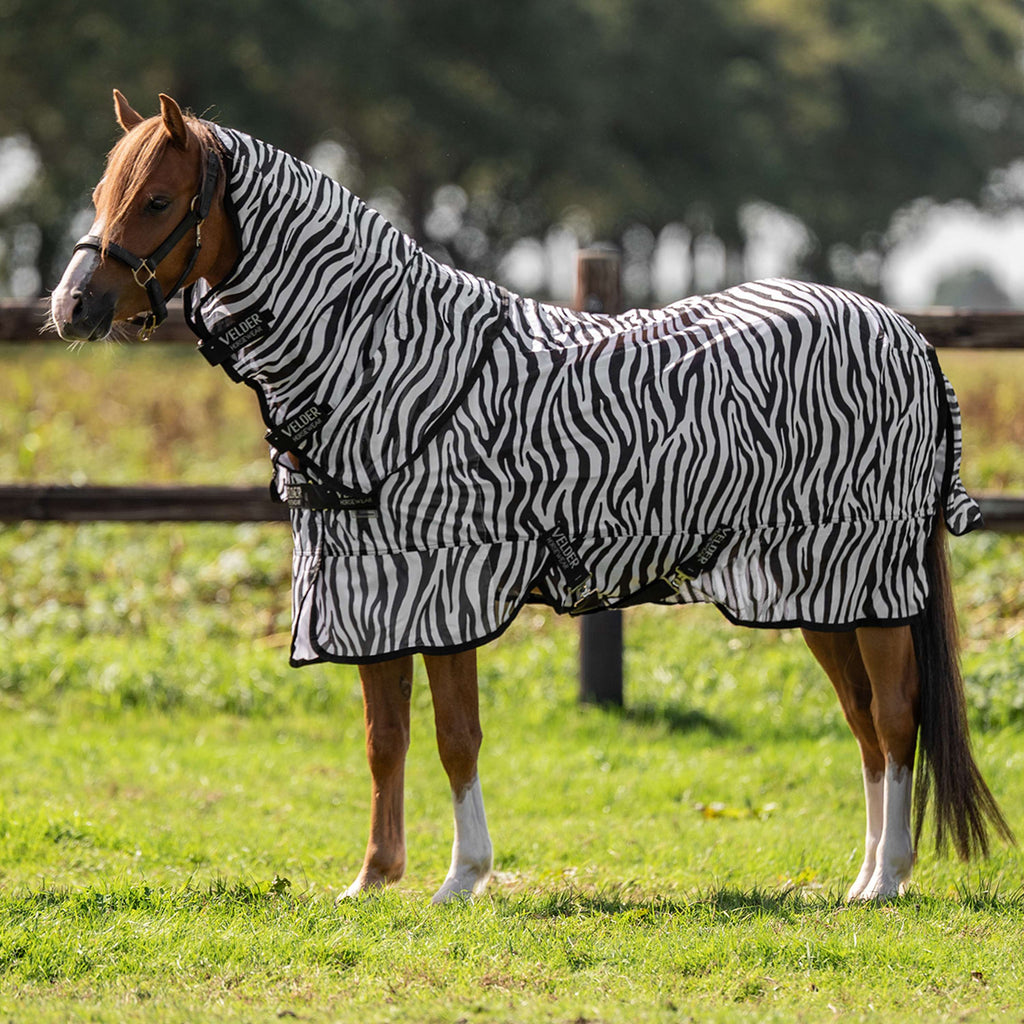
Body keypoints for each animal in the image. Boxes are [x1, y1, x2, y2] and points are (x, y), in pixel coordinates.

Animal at [51, 91, 1013, 903]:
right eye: (101, 192)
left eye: (159, 201)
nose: (71, 308)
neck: (395, 370)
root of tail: (907, 335)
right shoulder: (370, 591)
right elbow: (384, 739)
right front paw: (373, 880)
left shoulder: (444, 584)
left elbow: (455, 735)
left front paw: (461, 880)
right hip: (818, 591)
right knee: (864, 726)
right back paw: (863, 877)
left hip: (863, 576)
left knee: (894, 717)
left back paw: (888, 881)